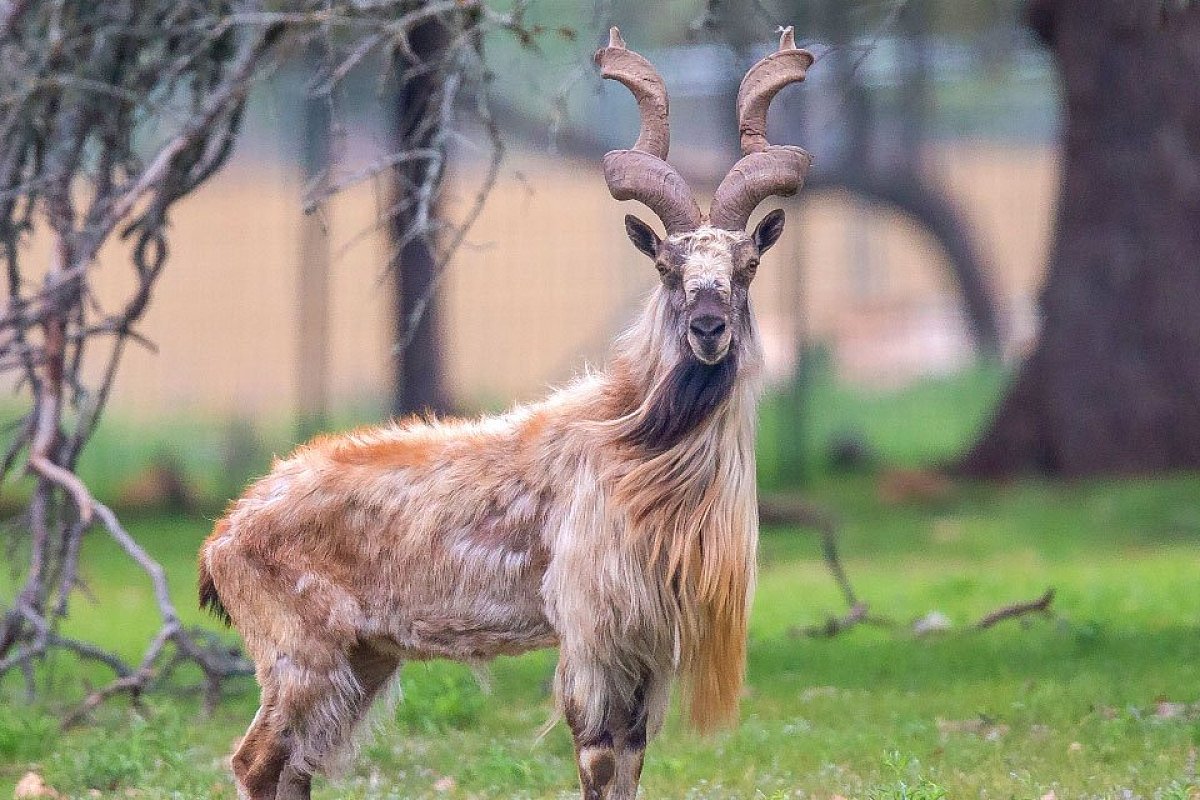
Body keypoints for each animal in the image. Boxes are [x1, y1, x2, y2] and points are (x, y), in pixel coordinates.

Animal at [199, 28, 816, 800]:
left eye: (746, 267)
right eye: (667, 268)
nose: (708, 328)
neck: (634, 446)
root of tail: (222, 536)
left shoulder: (643, 649)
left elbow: (632, 757)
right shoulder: (593, 633)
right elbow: (599, 754)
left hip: (362, 660)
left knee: (293, 767)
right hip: (301, 658)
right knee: (255, 760)